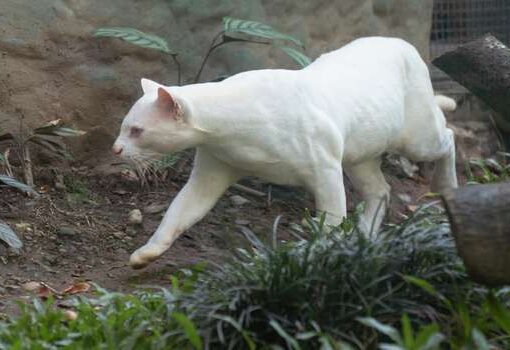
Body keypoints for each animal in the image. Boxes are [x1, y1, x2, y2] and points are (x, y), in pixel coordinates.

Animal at [111, 37, 458, 270]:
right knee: (381, 191)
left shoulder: (326, 171)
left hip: (416, 137)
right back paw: (364, 237)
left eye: (136, 131)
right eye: (124, 127)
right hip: (360, 156)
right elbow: (178, 213)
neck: (233, 131)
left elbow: (331, 218)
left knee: (449, 135)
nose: (115, 148)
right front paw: (146, 254)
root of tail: (401, 41)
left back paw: (447, 187)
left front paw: (318, 256)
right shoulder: (210, 173)